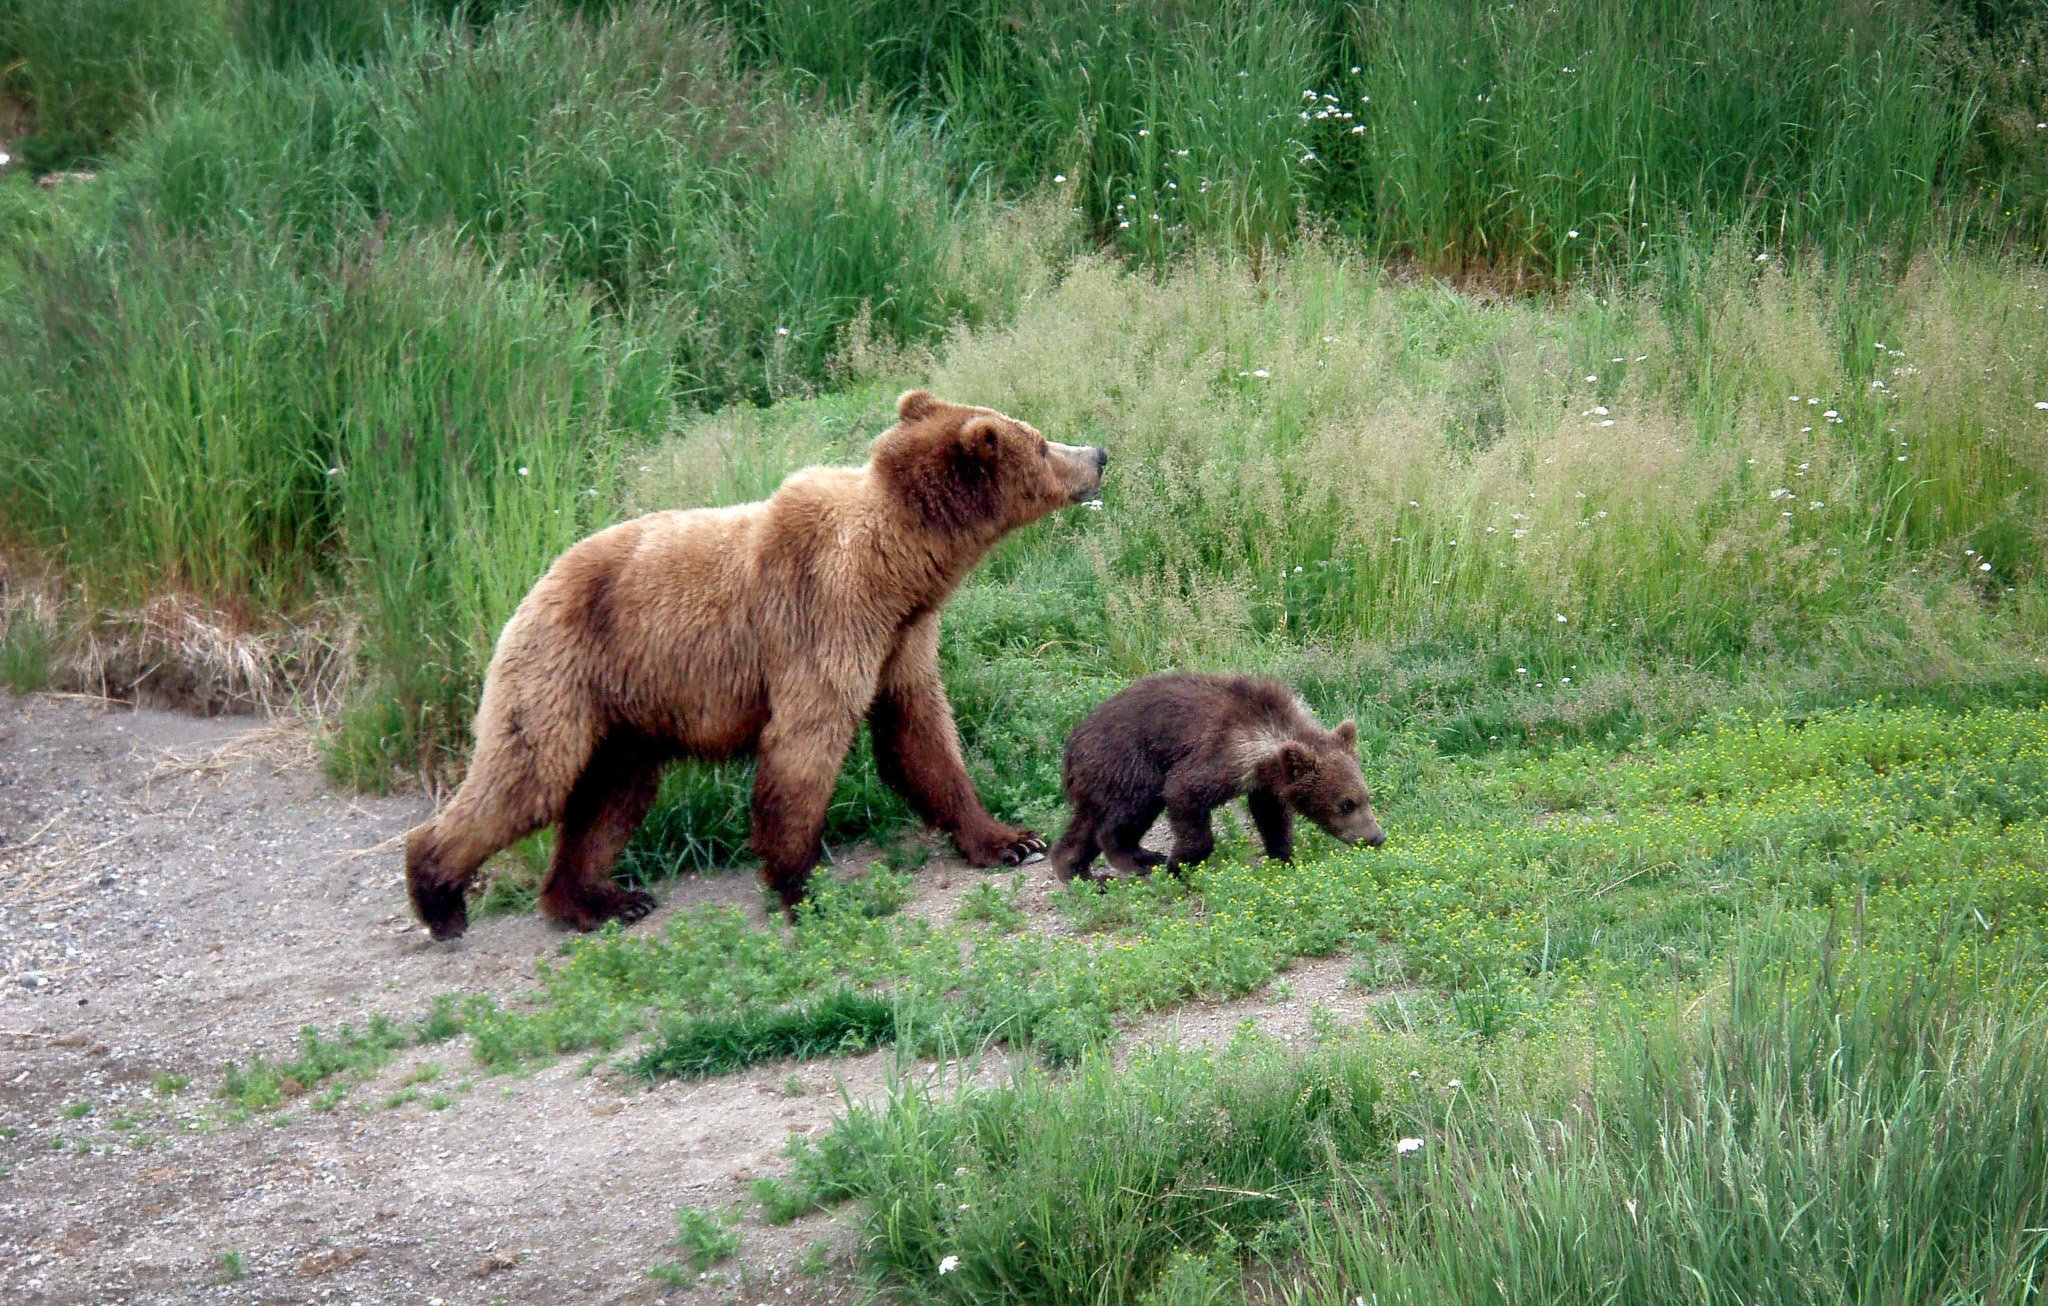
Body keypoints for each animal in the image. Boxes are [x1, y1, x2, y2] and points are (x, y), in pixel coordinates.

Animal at [405, 390, 1107, 939]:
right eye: (1041, 443)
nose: (1098, 455)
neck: (902, 569)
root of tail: (533, 589)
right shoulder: (824, 616)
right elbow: (803, 747)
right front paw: (803, 886)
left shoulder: (901, 639)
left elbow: (921, 736)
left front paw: (1011, 839)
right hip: (563, 671)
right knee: (528, 775)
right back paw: (438, 894)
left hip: (627, 717)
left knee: (610, 800)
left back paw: (599, 899)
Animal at [1048, 673, 1384, 883]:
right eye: (1346, 804)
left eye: (1366, 796)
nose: (1376, 837)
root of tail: (1072, 742)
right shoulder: (1222, 753)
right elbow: (1184, 791)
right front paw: (1180, 864)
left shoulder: (1262, 781)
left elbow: (1272, 817)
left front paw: (1283, 856)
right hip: (1128, 761)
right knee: (1127, 812)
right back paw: (1136, 859)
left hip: (1098, 778)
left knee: (1084, 825)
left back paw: (1082, 873)